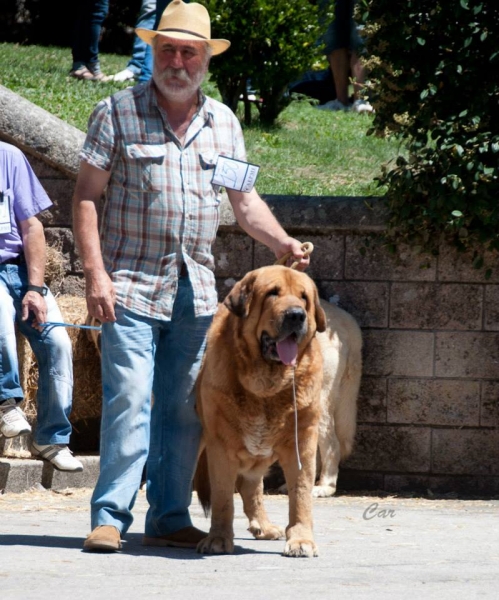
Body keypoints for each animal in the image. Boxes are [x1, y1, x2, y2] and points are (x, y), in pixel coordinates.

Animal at [195, 264, 328, 556]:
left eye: (303, 297)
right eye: (272, 293)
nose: (296, 315)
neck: (266, 385)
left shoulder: (302, 442)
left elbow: (301, 494)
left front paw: (301, 539)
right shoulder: (220, 446)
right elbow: (223, 498)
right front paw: (218, 538)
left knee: (250, 486)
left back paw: (264, 527)